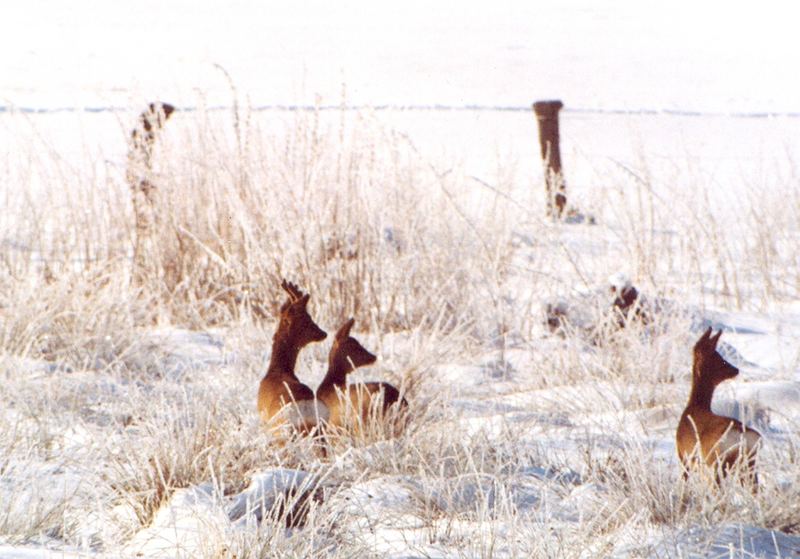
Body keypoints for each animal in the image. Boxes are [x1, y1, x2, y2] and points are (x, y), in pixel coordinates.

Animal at [680, 330, 760, 488]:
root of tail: (741, 435)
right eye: (718, 357)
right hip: (748, 466)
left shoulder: (684, 457)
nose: (735, 369)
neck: (695, 407)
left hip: (714, 464)